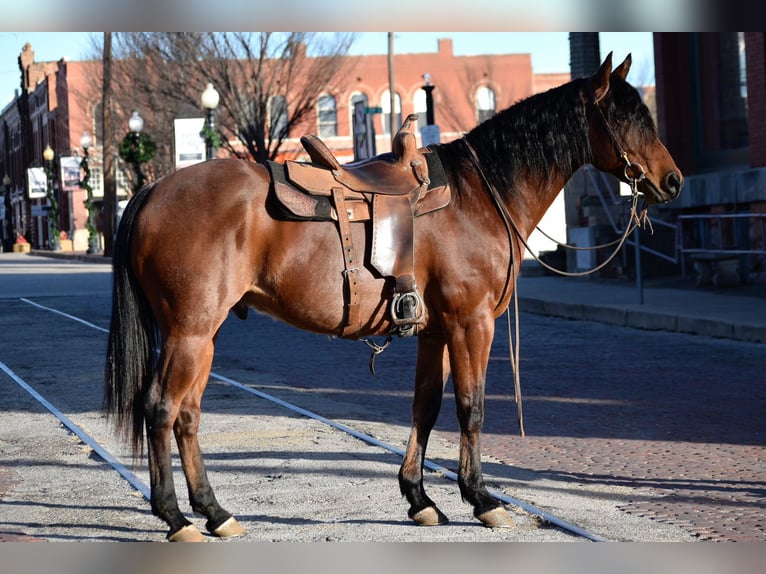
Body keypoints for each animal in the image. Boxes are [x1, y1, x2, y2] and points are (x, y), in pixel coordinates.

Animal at [103, 54, 684, 544]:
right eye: (626, 116)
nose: (673, 180)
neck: (480, 194)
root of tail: (151, 191)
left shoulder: (436, 330)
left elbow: (426, 406)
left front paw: (420, 498)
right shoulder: (472, 324)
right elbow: (471, 407)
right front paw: (482, 499)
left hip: (206, 333)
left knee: (188, 415)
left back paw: (215, 512)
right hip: (190, 331)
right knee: (161, 409)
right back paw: (176, 518)